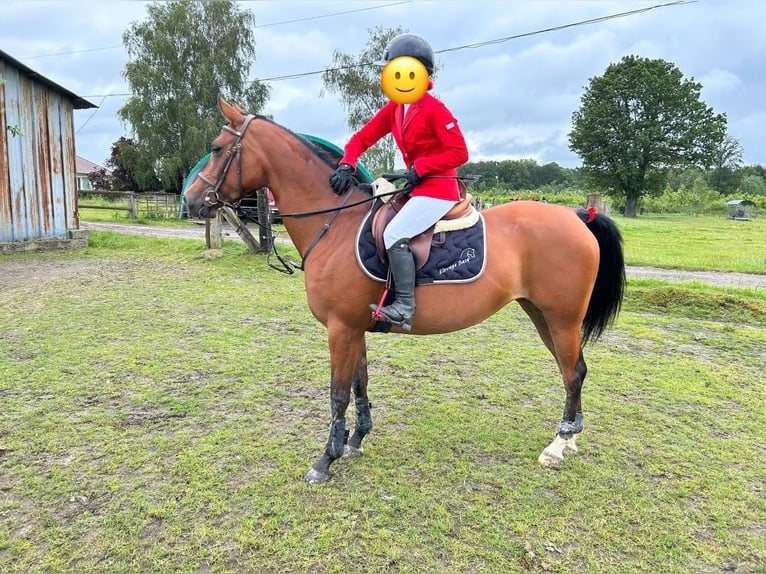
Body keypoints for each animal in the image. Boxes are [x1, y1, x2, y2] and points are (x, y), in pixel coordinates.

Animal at [186, 97, 632, 484]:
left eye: (217, 148)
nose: (191, 202)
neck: (335, 224)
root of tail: (577, 215)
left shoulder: (340, 328)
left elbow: (337, 394)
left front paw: (325, 460)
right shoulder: (353, 327)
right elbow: (360, 385)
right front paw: (355, 440)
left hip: (562, 318)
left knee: (572, 372)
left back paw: (558, 445)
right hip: (541, 314)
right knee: (572, 370)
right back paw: (569, 438)